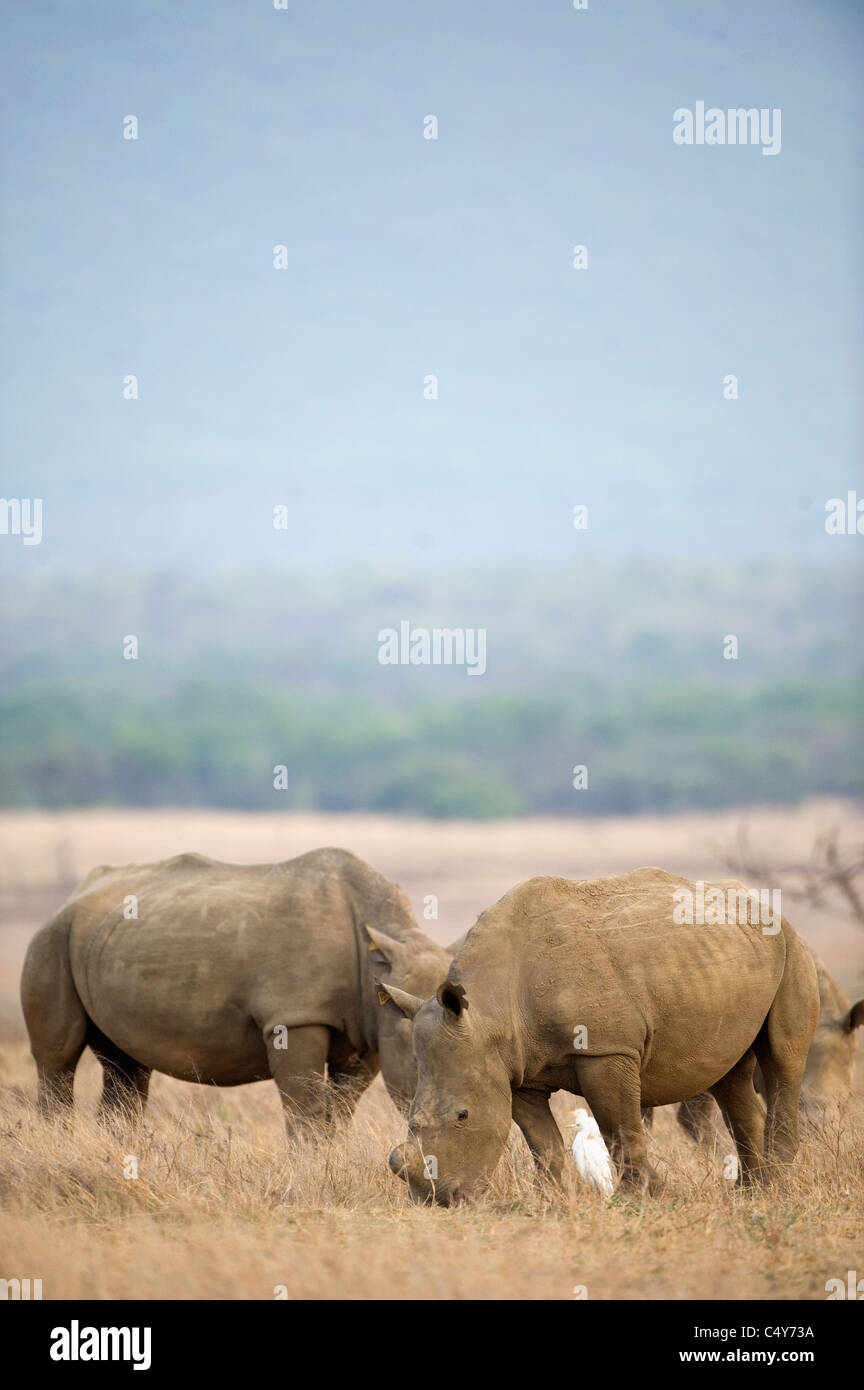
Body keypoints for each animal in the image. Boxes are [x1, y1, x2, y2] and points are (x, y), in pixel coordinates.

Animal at [20, 839, 452, 1134]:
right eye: (417, 1057)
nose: (447, 1115)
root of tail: (76, 894)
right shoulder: (294, 1016)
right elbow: (307, 1108)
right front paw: (314, 1168)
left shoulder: (367, 1029)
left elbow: (341, 1108)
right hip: (52, 937)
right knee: (58, 1058)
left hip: (105, 939)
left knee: (126, 1066)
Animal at [388, 867, 822, 1206]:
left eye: (462, 1116)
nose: (437, 1200)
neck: (489, 1013)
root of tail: (768, 908)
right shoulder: (516, 1068)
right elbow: (543, 1142)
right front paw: (548, 1200)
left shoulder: (605, 1051)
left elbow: (619, 1127)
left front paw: (641, 1197)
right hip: (727, 962)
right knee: (728, 1077)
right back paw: (750, 1192)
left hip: (793, 949)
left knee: (782, 1058)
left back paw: (777, 1186)